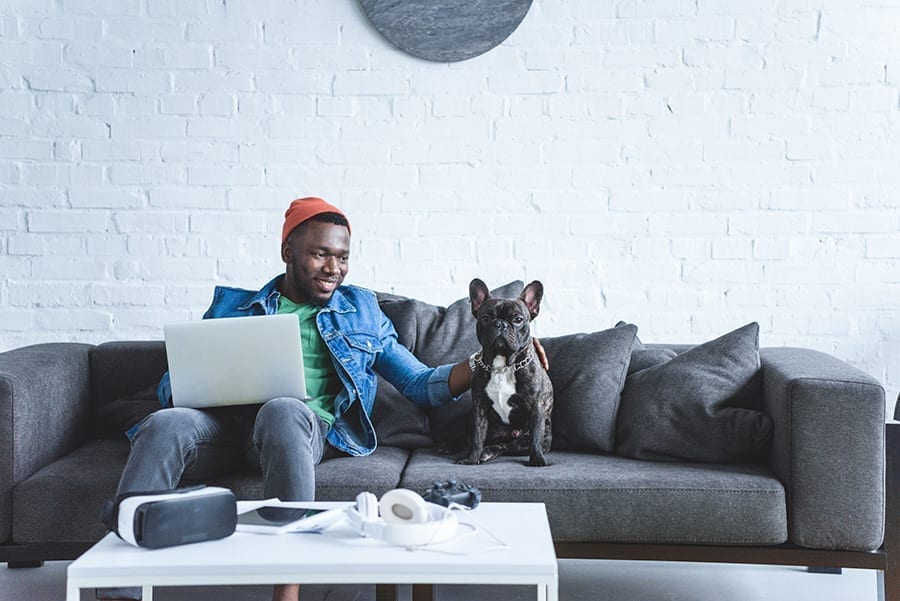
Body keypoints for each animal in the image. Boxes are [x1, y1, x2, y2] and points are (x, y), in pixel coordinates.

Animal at [458, 278, 556, 466]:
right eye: (486, 318)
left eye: (518, 319)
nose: (500, 324)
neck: (502, 365)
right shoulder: (479, 408)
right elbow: (477, 437)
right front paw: (471, 459)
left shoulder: (536, 407)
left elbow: (536, 438)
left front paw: (537, 459)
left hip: (533, 437)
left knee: (509, 446)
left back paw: (488, 452)